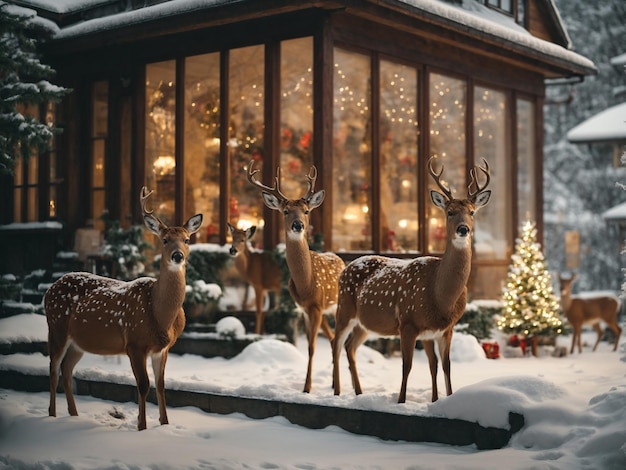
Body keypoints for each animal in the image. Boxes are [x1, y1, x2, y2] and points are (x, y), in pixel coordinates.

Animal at [46, 187, 202, 430]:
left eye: (187, 239)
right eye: (165, 239)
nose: (178, 256)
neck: (160, 314)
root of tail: (48, 290)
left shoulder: (162, 348)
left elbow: (160, 385)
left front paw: (164, 424)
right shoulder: (135, 343)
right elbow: (143, 385)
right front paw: (142, 426)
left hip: (78, 341)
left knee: (67, 369)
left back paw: (73, 415)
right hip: (56, 327)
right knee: (53, 370)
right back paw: (52, 416)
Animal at [246, 161, 344, 392]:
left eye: (307, 211)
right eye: (285, 211)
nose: (298, 225)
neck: (306, 284)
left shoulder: (316, 307)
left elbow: (312, 347)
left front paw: (307, 388)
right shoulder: (304, 310)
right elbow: (310, 346)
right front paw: (306, 386)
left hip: (335, 307)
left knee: (336, 340)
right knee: (333, 339)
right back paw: (333, 383)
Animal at [330, 157, 490, 404]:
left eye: (472, 212)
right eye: (450, 211)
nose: (463, 229)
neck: (440, 295)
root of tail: (345, 268)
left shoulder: (443, 329)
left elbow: (442, 366)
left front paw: (441, 400)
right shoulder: (407, 322)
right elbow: (407, 365)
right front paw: (401, 401)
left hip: (364, 323)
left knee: (350, 347)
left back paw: (359, 392)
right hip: (344, 308)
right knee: (336, 344)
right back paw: (337, 392)